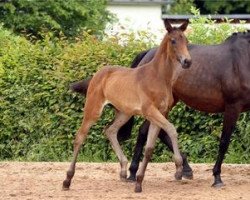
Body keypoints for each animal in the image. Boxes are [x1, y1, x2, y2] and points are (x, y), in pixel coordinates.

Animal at [62, 19, 191, 192]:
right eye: (173, 41)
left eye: (186, 41)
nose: (187, 61)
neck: (158, 77)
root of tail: (98, 74)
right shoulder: (150, 111)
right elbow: (172, 129)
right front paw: (178, 169)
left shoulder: (161, 113)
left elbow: (149, 147)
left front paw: (139, 182)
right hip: (93, 109)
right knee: (80, 136)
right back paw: (67, 180)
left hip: (124, 113)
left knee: (110, 130)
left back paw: (123, 170)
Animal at [71, 30, 250, 188]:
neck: (243, 59)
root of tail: (148, 53)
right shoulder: (232, 106)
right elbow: (224, 141)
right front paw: (217, 178)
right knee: (150, 131)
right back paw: (138, 173)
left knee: (150, 131)